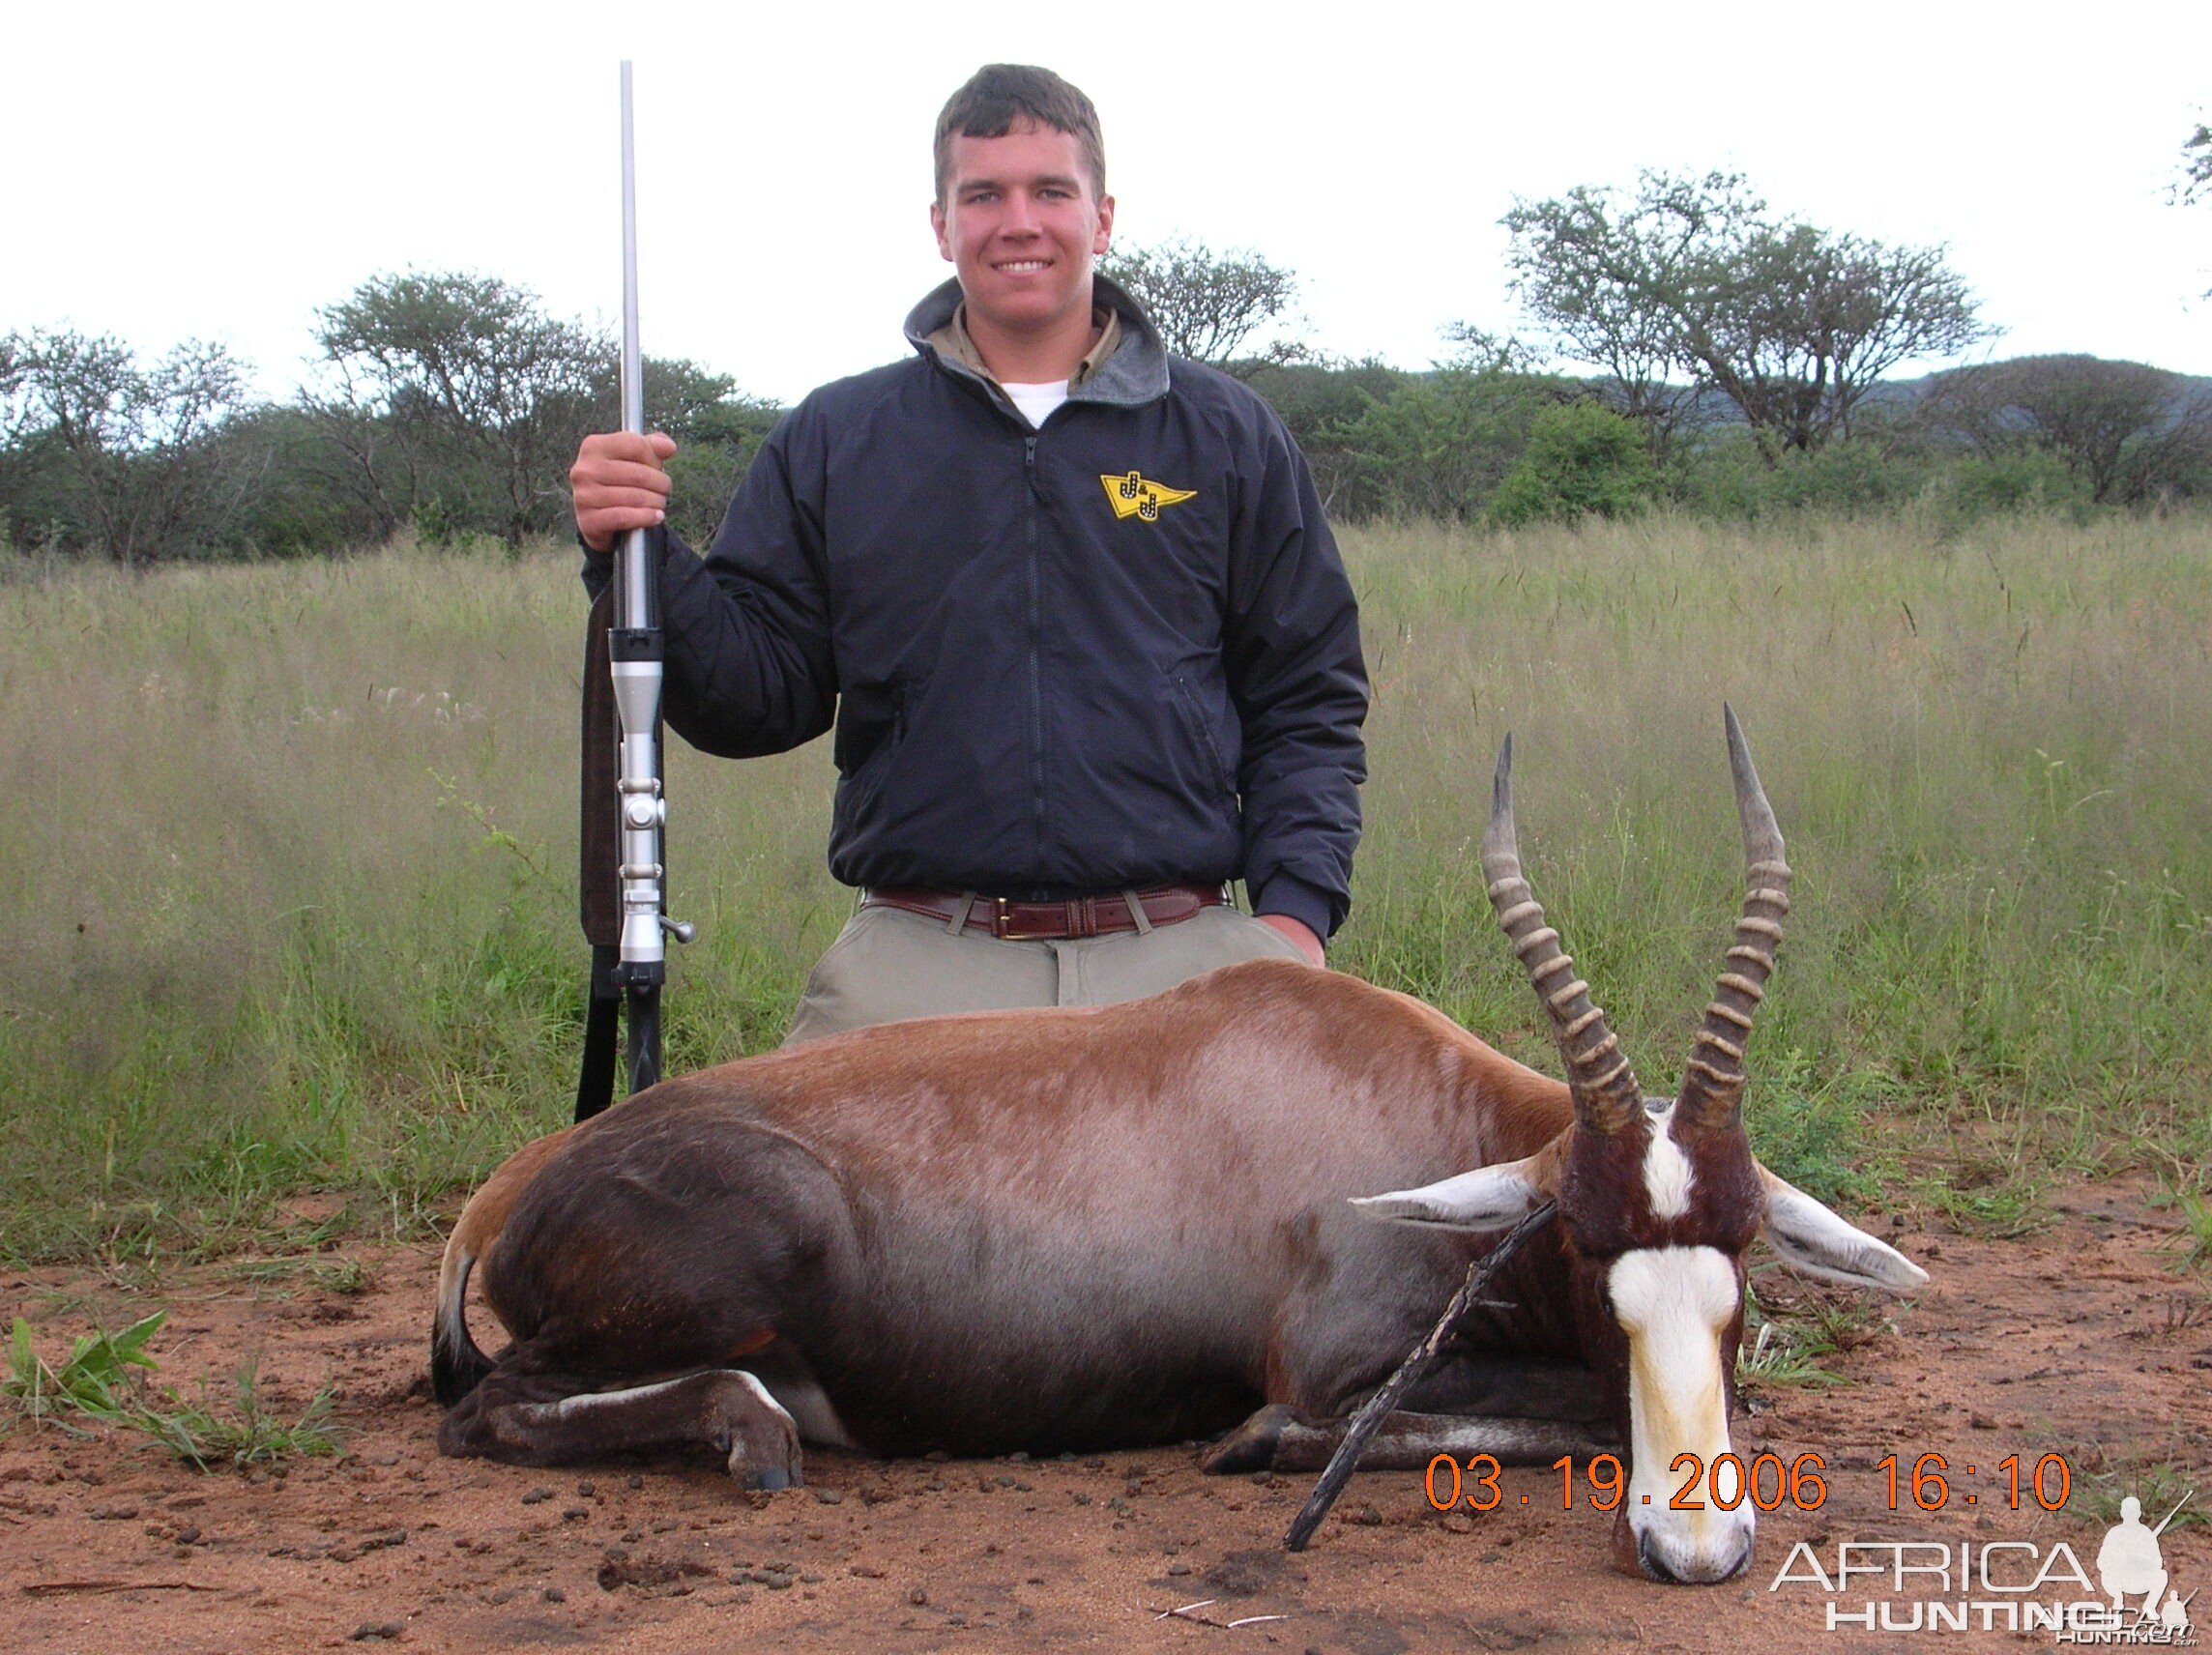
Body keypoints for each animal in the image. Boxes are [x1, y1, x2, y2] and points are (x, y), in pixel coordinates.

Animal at [431, 708, 1919, 1575]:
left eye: (1739, 1263)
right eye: (1584, 1248)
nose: (1696, 1549)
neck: (1402, 1096)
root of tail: (509, 1193)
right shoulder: (1329, 1367)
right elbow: (1533, 1414)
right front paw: (1251, 1448)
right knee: (488, 1411)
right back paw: (754, 1437)